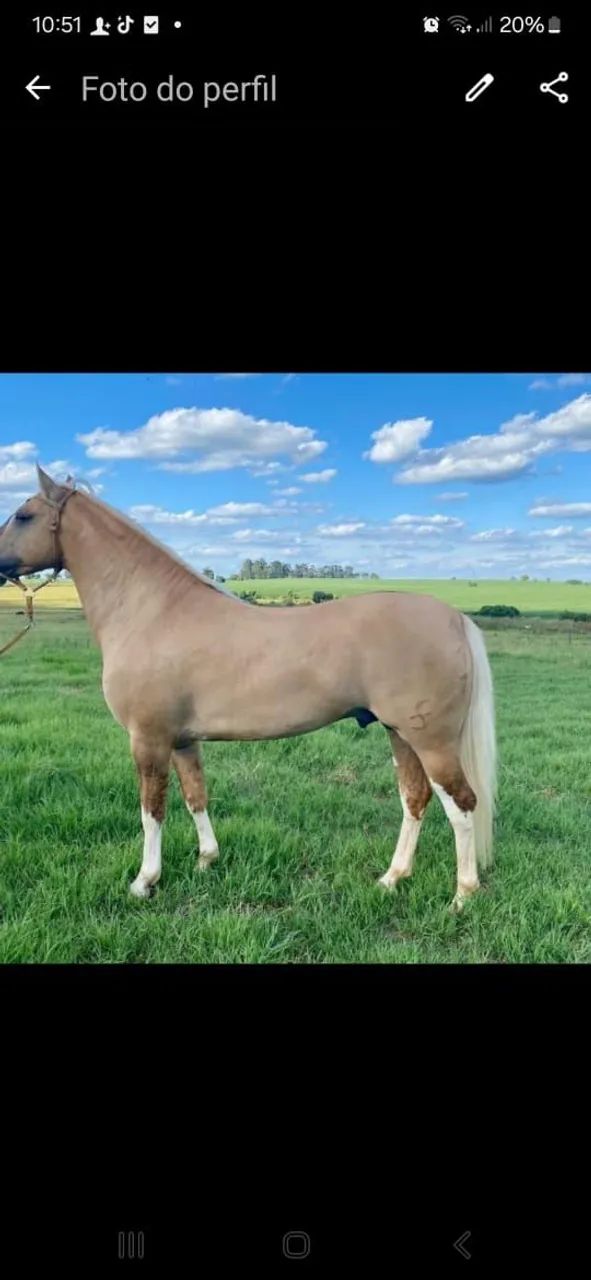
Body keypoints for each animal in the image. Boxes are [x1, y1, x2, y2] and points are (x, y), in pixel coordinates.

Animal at [0, 467, 496, 910]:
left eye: (23, 515)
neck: (153, 611)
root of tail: (453, 617)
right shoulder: (182, 741)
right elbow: (195, 796)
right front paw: (206, 860)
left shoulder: (148, 739)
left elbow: (152, 809)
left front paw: (145, 881)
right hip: (400, 735)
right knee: (416, 799)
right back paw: (392, 879)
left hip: (431, 741)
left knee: (462, 804)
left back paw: (462, 896)